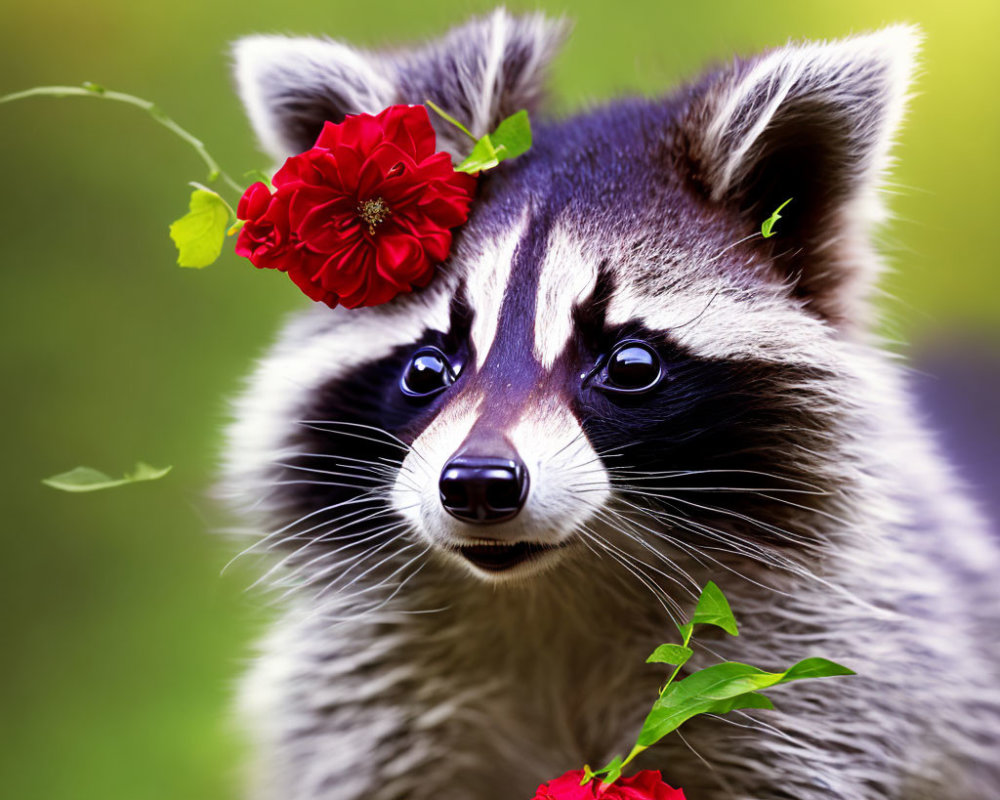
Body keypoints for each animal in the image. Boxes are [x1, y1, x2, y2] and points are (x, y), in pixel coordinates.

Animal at [221, 10, 1000, 800]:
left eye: (630, 366)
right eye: (428, 368)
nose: (476, 484)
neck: (553, 587)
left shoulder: (829, 683)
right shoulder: (364, 710)